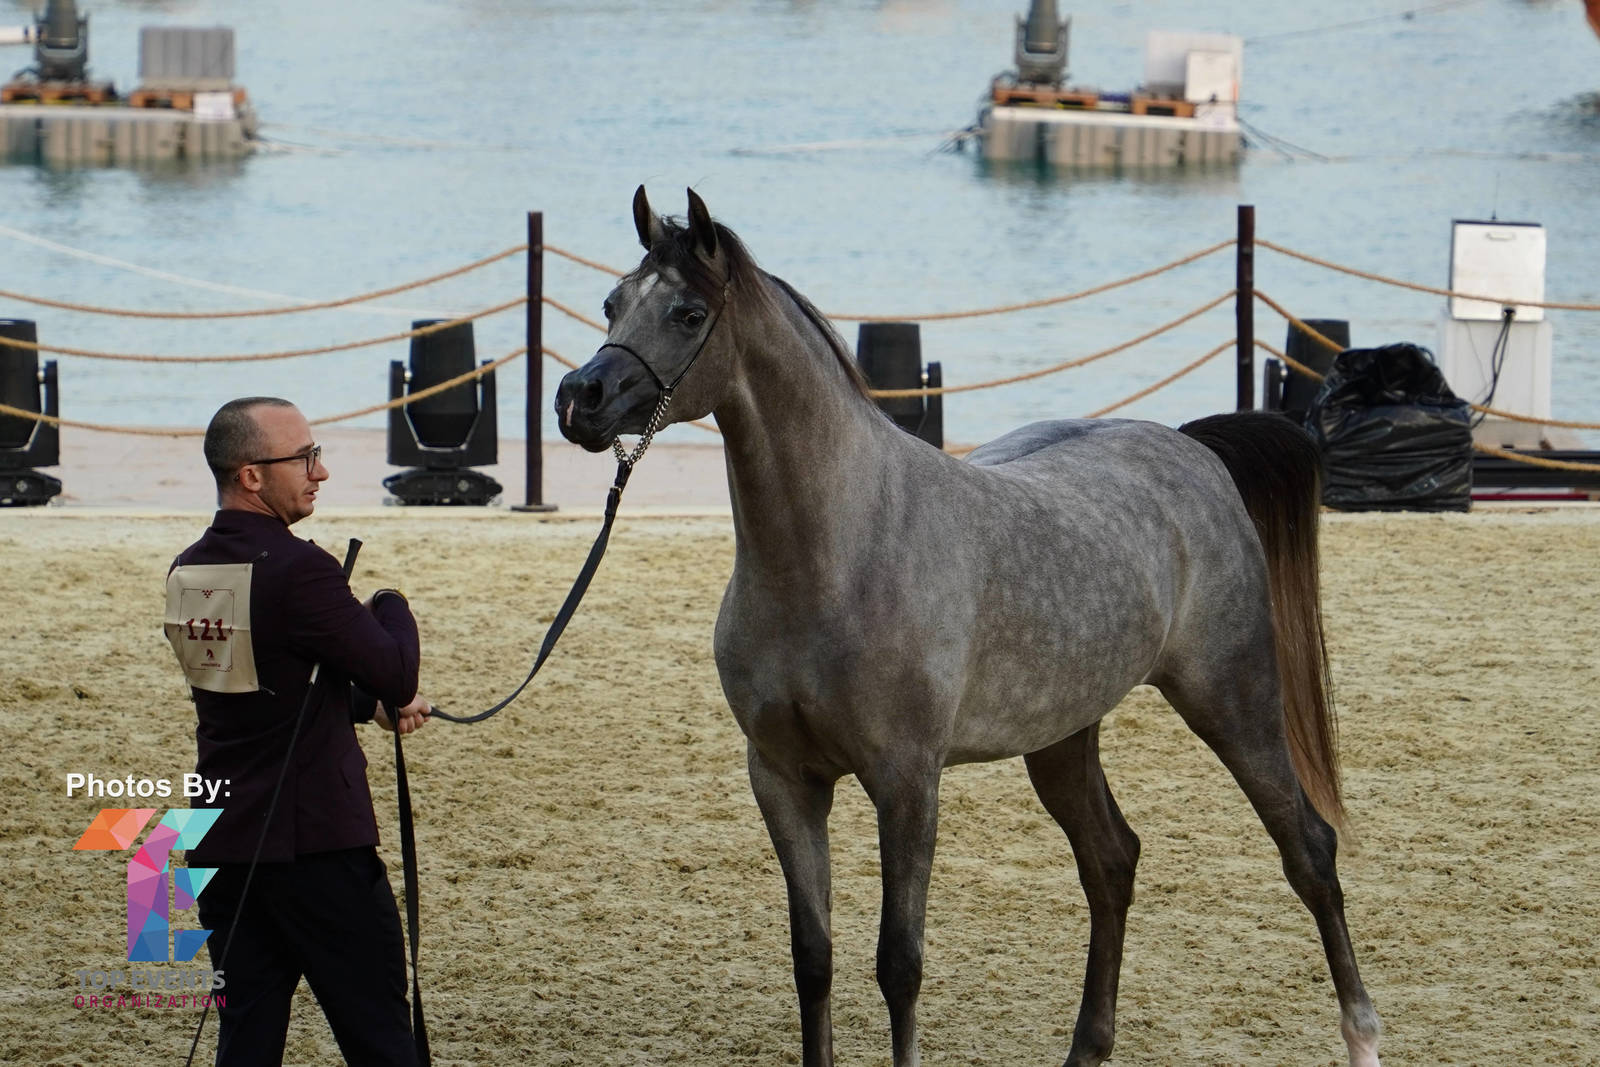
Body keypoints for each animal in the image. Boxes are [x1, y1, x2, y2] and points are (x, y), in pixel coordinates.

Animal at [555, 187, 1383, 1067]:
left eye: (687, 312)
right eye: (612, 302)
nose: (578, 398)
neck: (842, 548)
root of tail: (1194, 451)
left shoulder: (907, 781)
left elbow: (900, 963)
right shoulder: (783, 778)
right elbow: (813, 958)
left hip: (1232, 699)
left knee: (1308, 850)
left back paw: (1362, 1034)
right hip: (1063, 736)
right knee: (1112, 861)